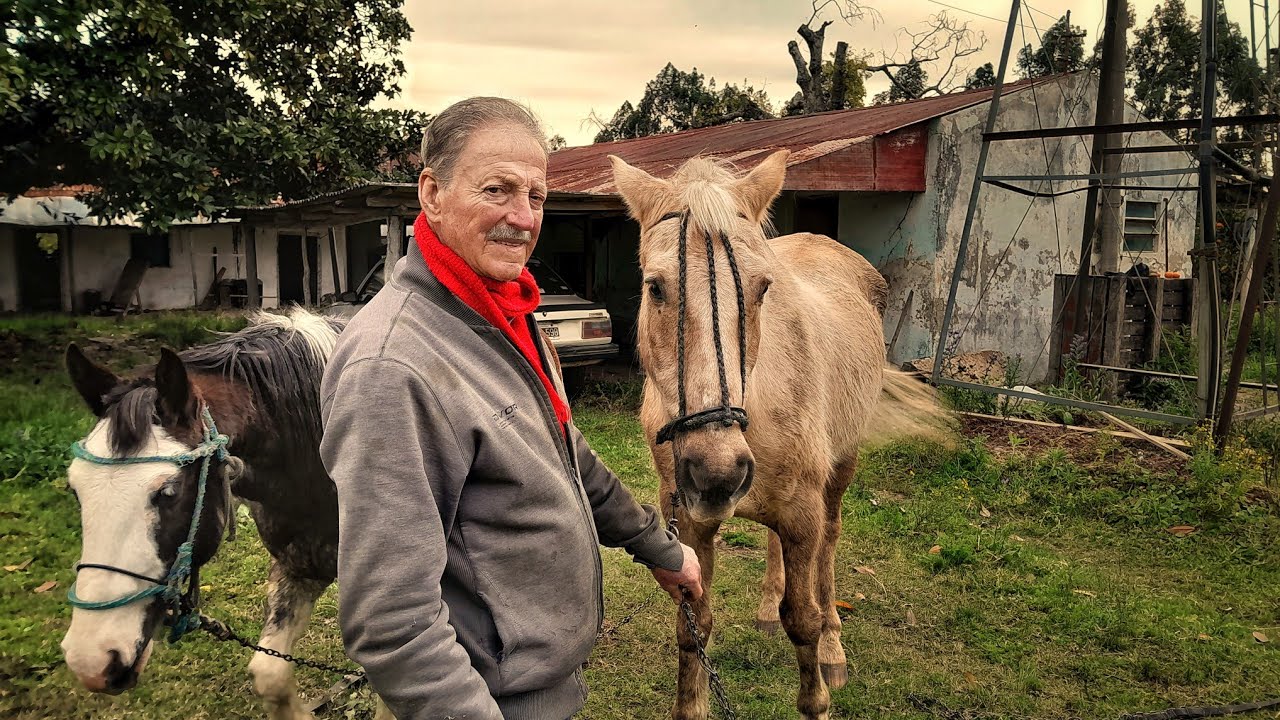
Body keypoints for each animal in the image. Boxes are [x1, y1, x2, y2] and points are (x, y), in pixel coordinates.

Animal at [610, 150, 948, 720]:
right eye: (656, 287)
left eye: (762, 289)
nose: (717, 471)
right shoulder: (691, 522)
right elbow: (694, 626)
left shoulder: (802, 514)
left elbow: (804, 619)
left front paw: (820, 685)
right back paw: (769, 605)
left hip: (839, 471)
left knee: (829, 547)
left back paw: (834, 643)